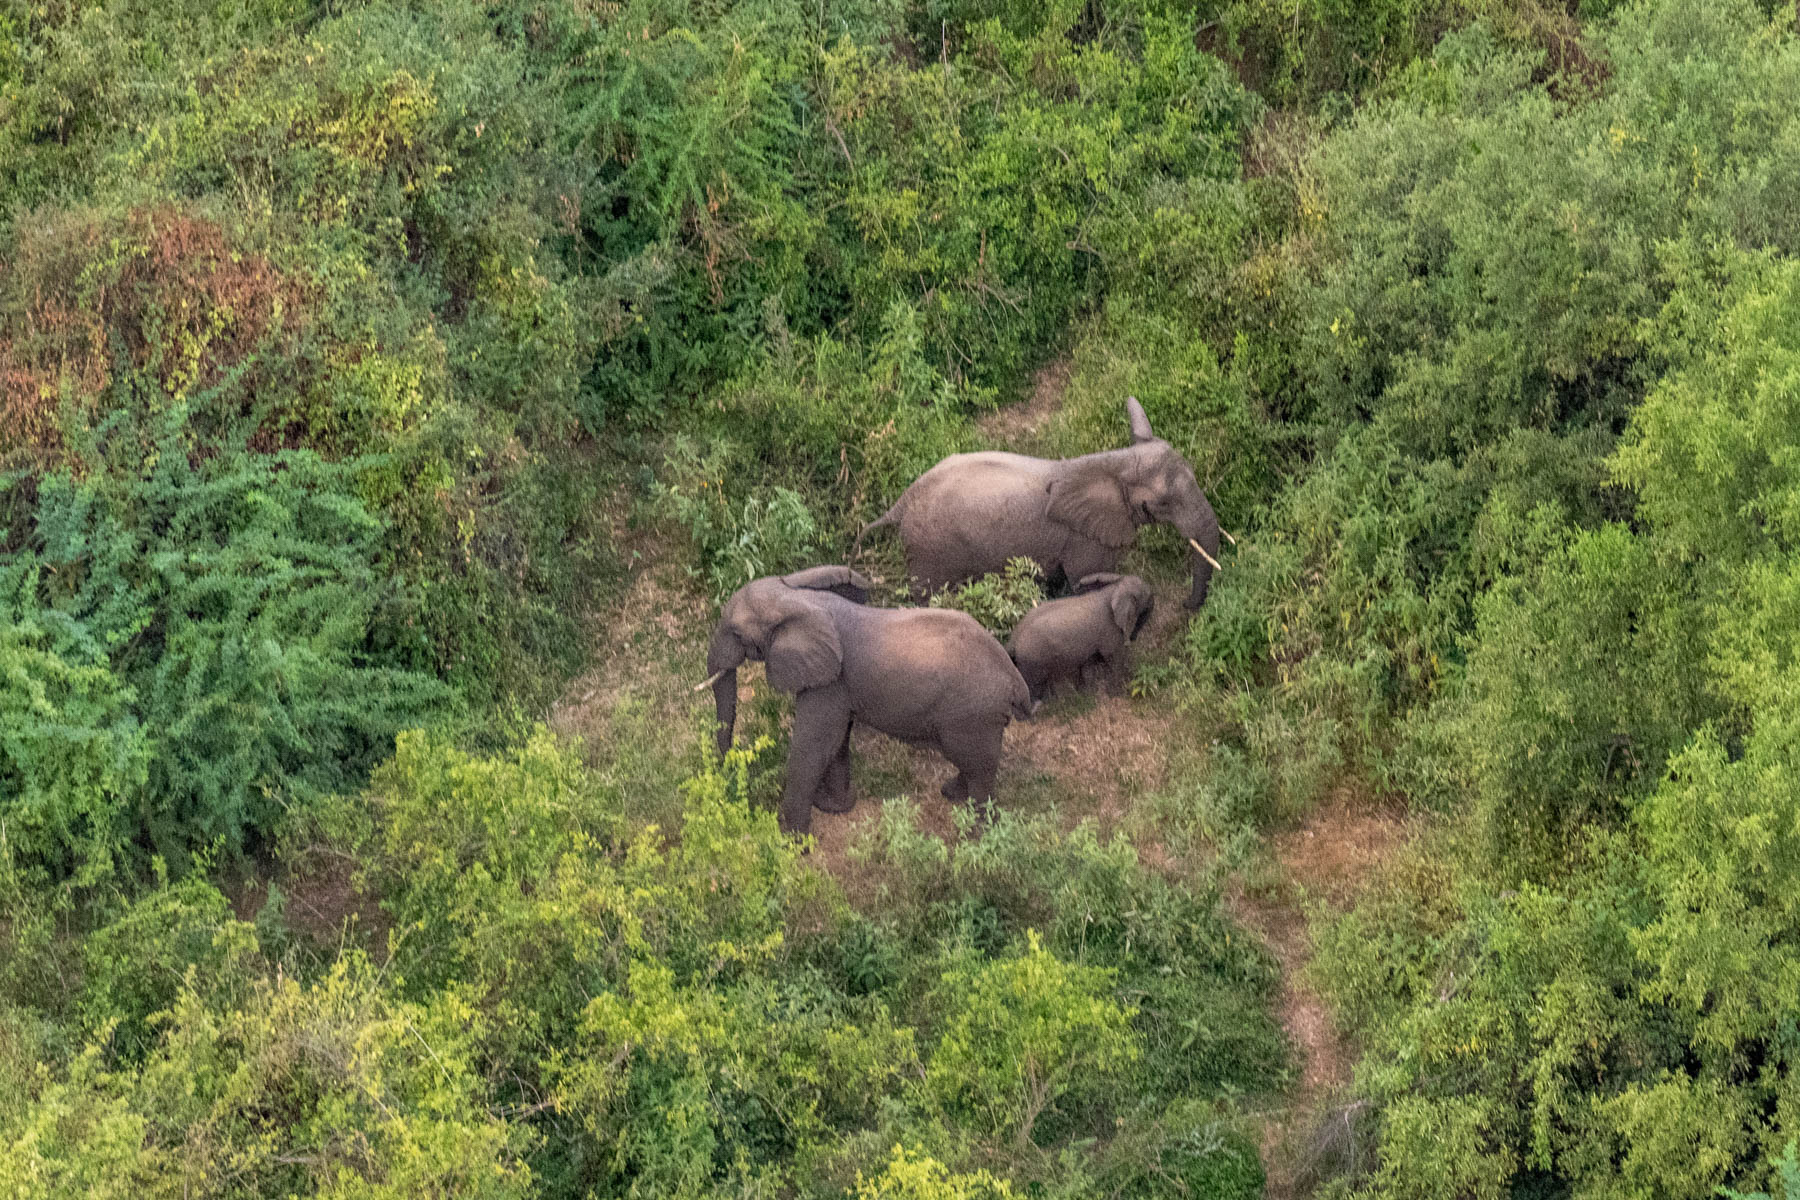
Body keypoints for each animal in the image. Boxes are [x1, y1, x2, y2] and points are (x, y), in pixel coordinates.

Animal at [703, 565, 1032, 836]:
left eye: (736, 633)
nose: (732, 764)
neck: (799, 597)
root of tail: (1015, 681)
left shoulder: (830, 680)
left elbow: (813, 746)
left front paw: (794, 843)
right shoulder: (839, 683)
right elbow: (836, 740)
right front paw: (834, 807)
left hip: (973, 715)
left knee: (978, 767)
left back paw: (975, 834)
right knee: (972, 763)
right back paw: (951, 794)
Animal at [859, 396, 1223, 609]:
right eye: (1164, 502)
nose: (1185, 606)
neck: (1115, 461)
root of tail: (902, 502)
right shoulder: (1085, 539)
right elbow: (1087, 582)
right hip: (931, 549)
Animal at [1007, 573, 1155, 704]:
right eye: (1146, 596)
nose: (1132, 638)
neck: (1114, 588)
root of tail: (1012, 642)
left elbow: (1088, 663)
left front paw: (1087, 695)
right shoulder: (1109, 629)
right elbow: (1113, 658)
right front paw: (1117, 695)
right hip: (1032, 661)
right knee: (1033, 686)